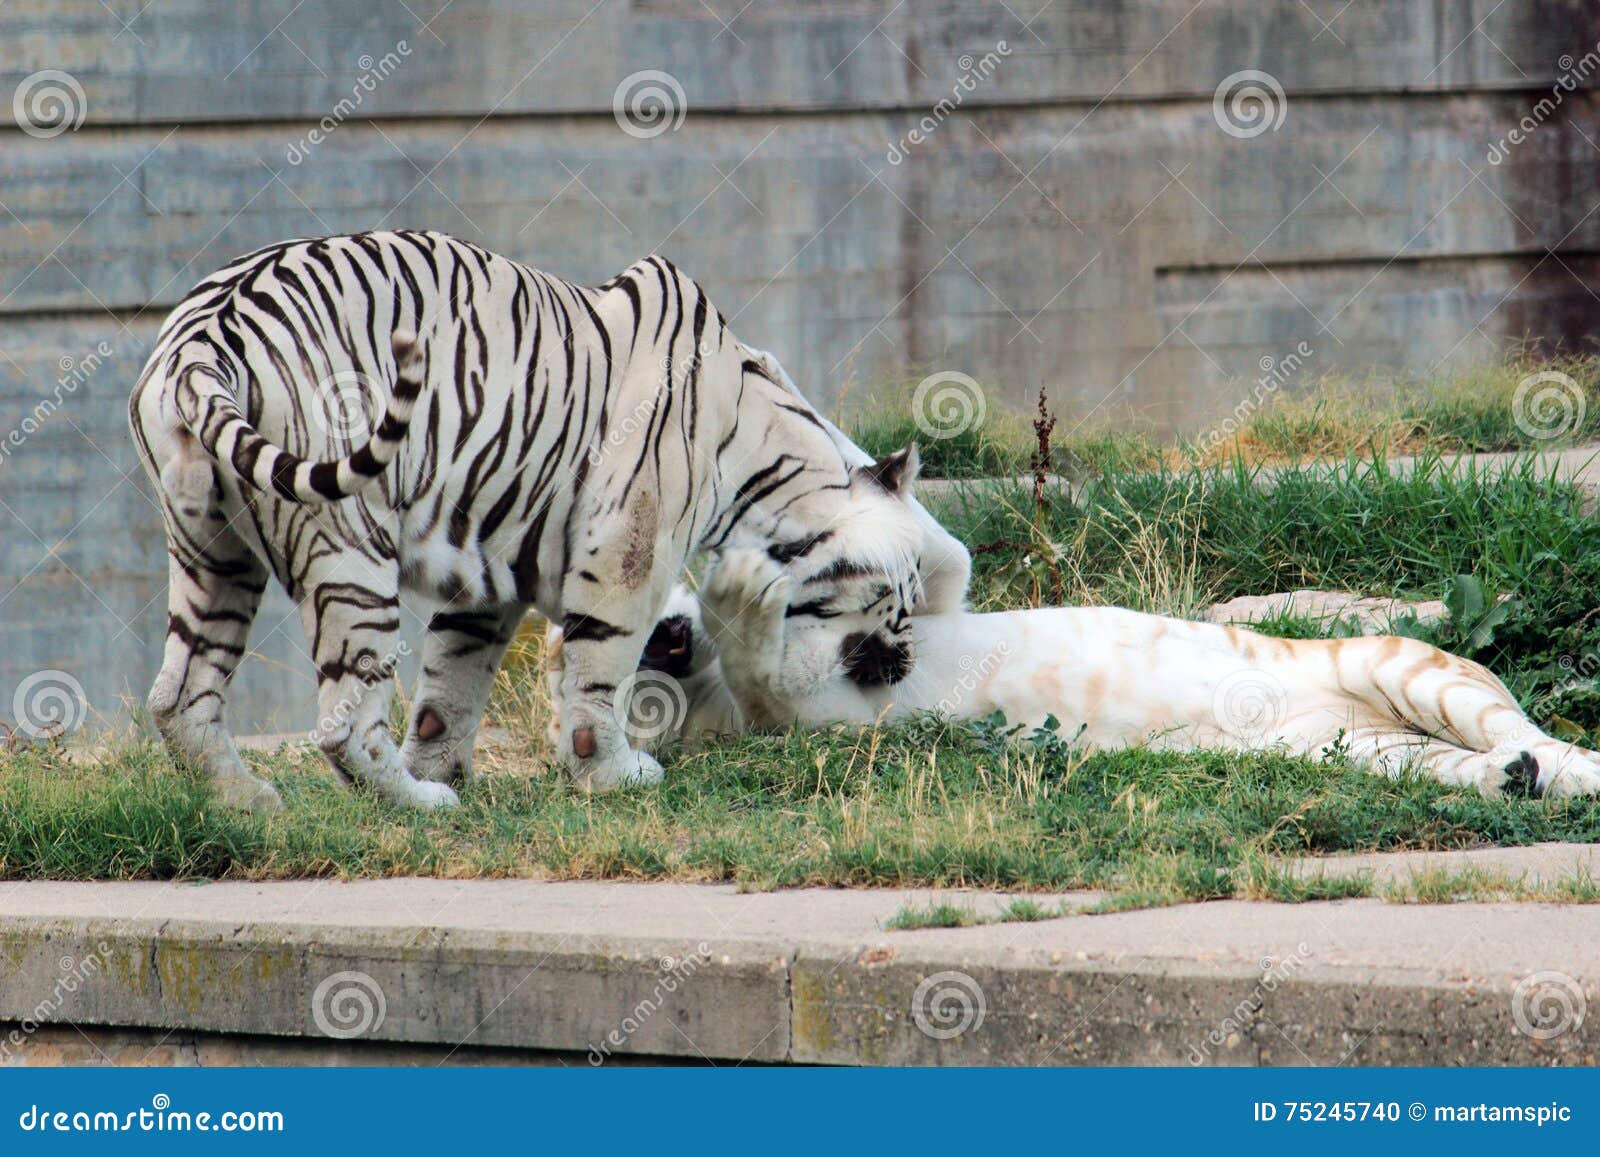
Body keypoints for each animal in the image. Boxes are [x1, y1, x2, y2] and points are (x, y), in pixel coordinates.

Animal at [131, 230, 966, 816]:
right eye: (899, 601)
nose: (898, 663)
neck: (767, 451)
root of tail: (201, 338)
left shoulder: (487, 571)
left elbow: (450, 683)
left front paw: (445, 766)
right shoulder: (631, 541)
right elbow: (603, 667)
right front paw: (612, 775)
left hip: (213, 551)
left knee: (180, 693)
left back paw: (248, 801)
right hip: (349, 545)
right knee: (341, 719)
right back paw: (415, 805)